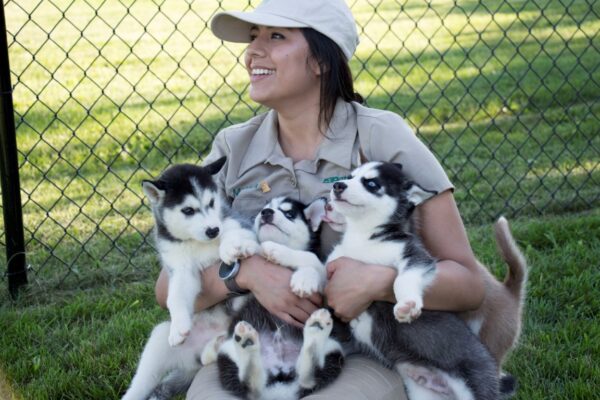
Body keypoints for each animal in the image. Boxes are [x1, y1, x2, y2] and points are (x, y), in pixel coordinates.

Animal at [122, 158, 260, 400]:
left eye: (212, 202)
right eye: (188, 210)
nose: (213, 230)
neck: (198, 243)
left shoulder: (236, 222)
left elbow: (235, 231)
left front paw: (233, 246)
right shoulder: (180, 268)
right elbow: (176, 296)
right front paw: (179, 325)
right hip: (160, 340)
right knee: (144, 379)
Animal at [204, 198, 346, 400]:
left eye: (289, 214)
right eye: (263, 209)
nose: (266, 213)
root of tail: (279, 382)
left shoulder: (327, 283)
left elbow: (310, 258)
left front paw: (302, 277)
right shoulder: (241, 297)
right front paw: (240, 246)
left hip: (333, 349)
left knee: (308, 375)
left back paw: (316, 329)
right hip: (228, 352)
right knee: (250, 384)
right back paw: (247, 343)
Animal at [328, 162, 502, 400]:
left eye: (372, 184)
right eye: (349, 177)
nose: (337, 185)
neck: (363, 237)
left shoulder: (415, 256)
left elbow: (401, 280)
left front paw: (406, 305)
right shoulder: (335, 262)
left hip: (474, 382)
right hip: (422, 393)